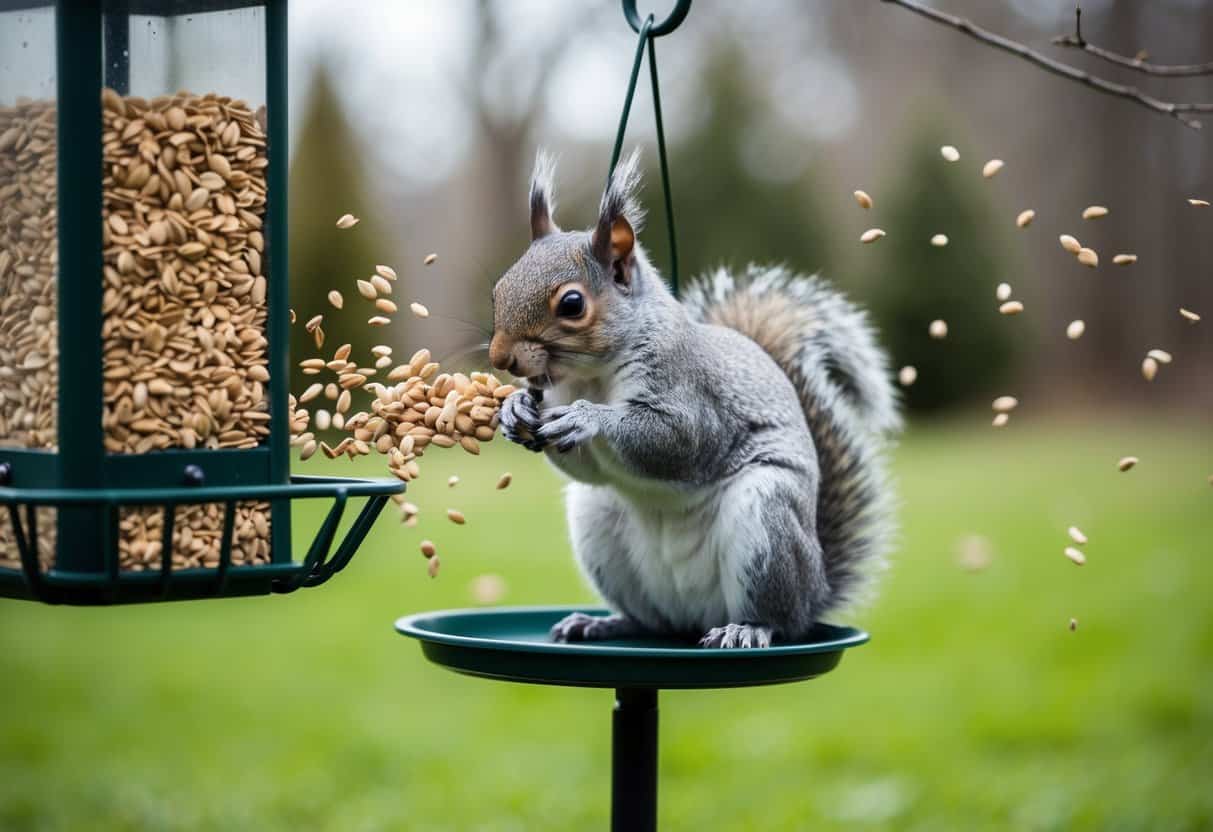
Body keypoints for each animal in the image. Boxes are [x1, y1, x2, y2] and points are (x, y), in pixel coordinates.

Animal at [489, 150, 901, 648]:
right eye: (498, 289)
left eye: (571, 304)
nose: (500, 358)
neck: (592, 376)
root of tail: (816, 587)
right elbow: (586, 468)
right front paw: (514, 408)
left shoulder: (691, 392)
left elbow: (681, 440)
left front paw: (589, 419)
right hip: (598, 522)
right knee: (649, 620)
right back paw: (602, 623)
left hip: (767, 520)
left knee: (780, 617)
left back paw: (749, 628)